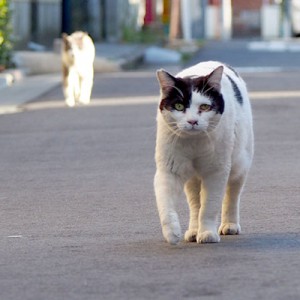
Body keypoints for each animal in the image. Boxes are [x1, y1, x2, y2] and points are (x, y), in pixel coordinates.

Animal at [155, 60, 253, 244]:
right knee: (195, 203)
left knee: (232, 195)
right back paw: (194, 231)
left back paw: (229, 225)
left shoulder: (216, 171)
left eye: (205, 107)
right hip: (192, 177)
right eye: (179, 106)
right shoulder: (169, 170)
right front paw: (172, 233)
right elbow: (165, 204)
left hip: (239, 164)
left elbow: (210, 206)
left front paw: (207, 233)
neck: (195, 143)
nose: (193, 121)